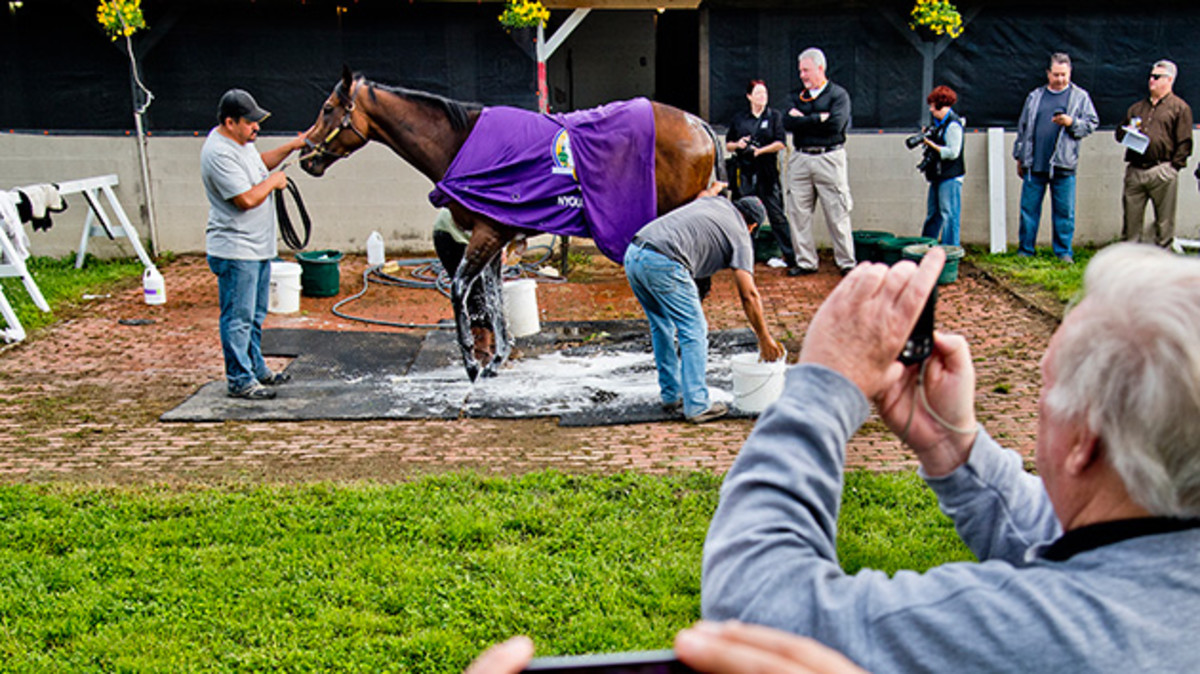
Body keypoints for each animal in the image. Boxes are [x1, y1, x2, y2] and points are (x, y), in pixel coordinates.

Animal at [298, 65, 715, 381]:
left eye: (328, 108)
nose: (306, 157)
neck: (462, 142)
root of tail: (699, 125)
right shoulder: (495, 237)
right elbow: (494, 297)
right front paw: (496, 358)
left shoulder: (487, 232)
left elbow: (460, 289)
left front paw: (471, 361)